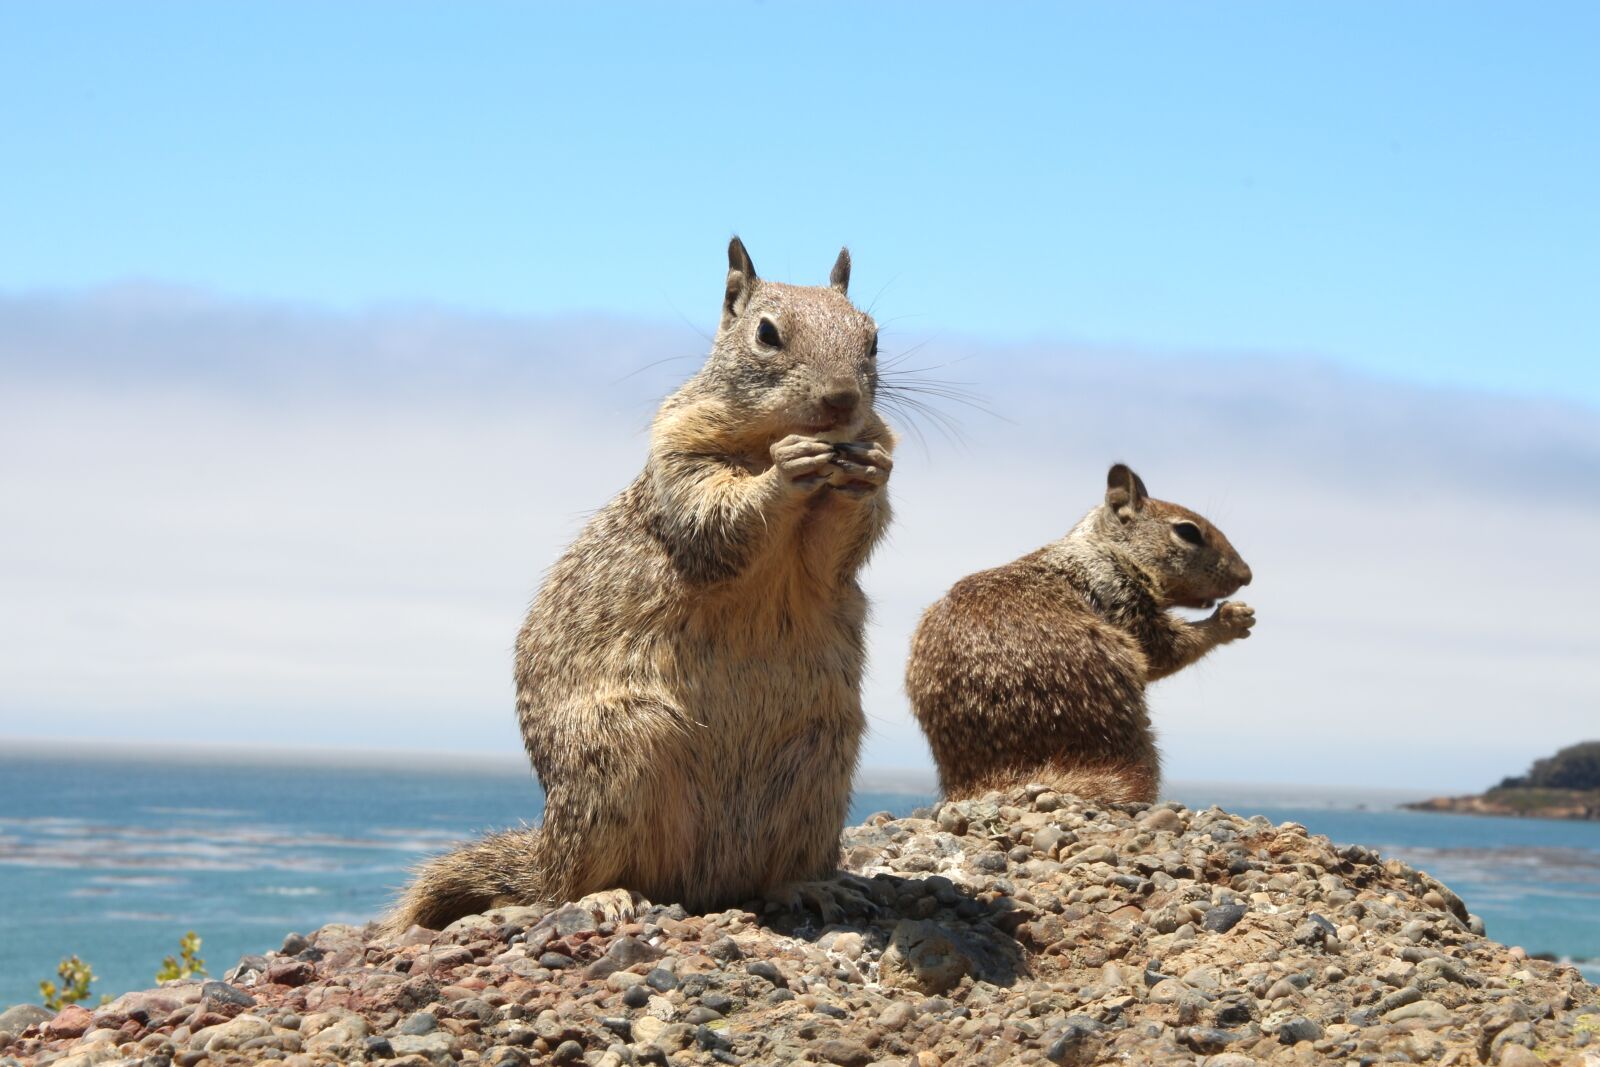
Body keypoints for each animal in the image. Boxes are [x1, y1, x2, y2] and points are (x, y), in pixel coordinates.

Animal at [385, 238, 894, 932]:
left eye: (873, 339)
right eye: (766, 333)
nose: (842, 400)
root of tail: (710, 887)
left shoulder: (833, 542)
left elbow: (839, 547)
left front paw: (868, 470)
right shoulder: (680, 462)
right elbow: (720, 519)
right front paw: (782, 472)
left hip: (821, 766)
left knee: (772, 872)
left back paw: (809, 885)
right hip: (620, 763)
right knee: (568, 886)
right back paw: (605, 895)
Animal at [905, 463, 1253, 805]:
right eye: (1188, 532)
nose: (1247, 576)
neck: (1105, 548)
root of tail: (989, 781)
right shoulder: (1119, 594)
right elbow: (1164, 649)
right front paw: (1230, 619)